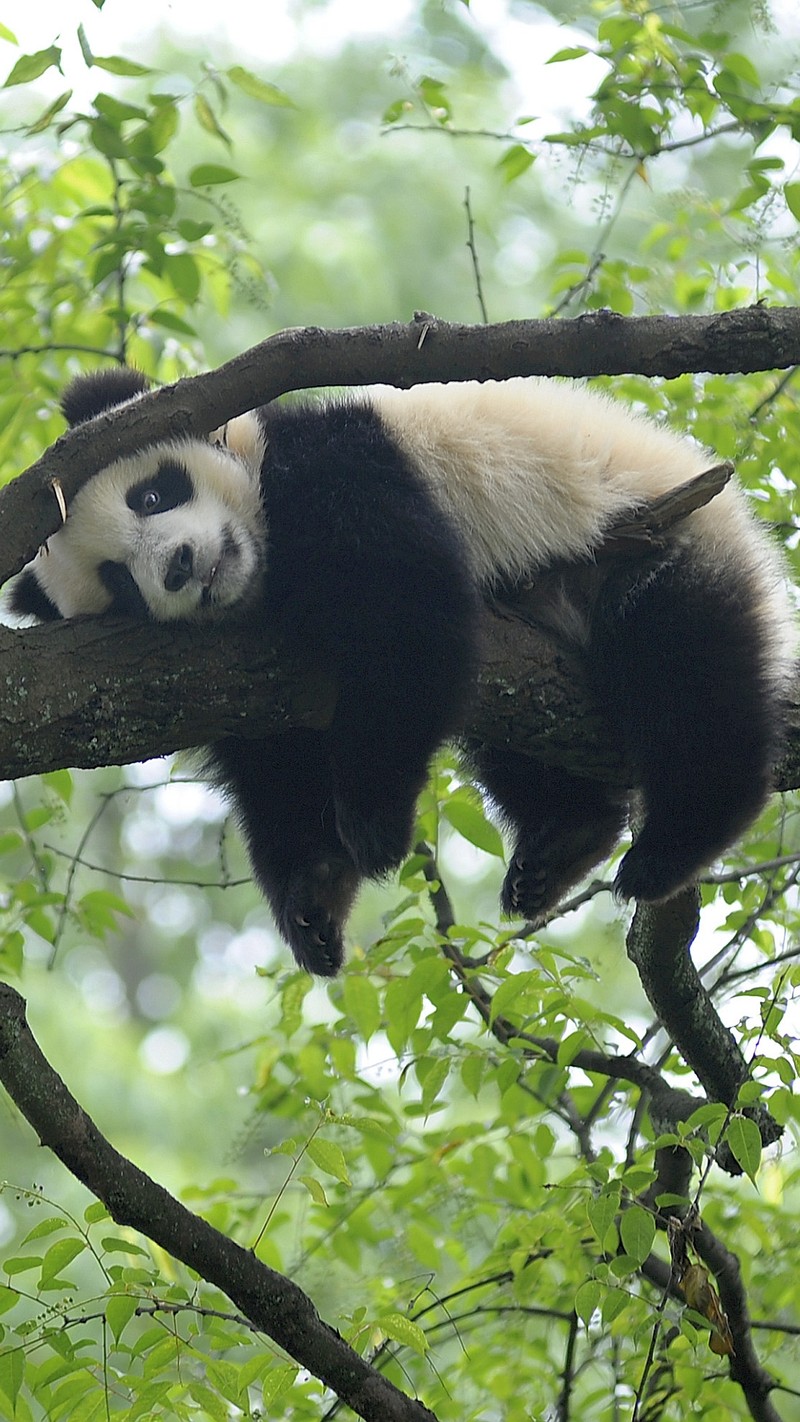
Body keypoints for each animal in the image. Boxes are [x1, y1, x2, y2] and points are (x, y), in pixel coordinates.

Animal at [10, 364, 795, 978]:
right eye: (118, 583)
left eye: (150, 495)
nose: (177, 567)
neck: (264, 566)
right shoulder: (238, 673)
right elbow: (276, 762)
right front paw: (314, 895)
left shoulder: (336, 467)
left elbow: (407, 610)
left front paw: (374, 823)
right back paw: (563, 839)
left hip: (661, 538)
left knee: (686, 672)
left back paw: (674, 842)